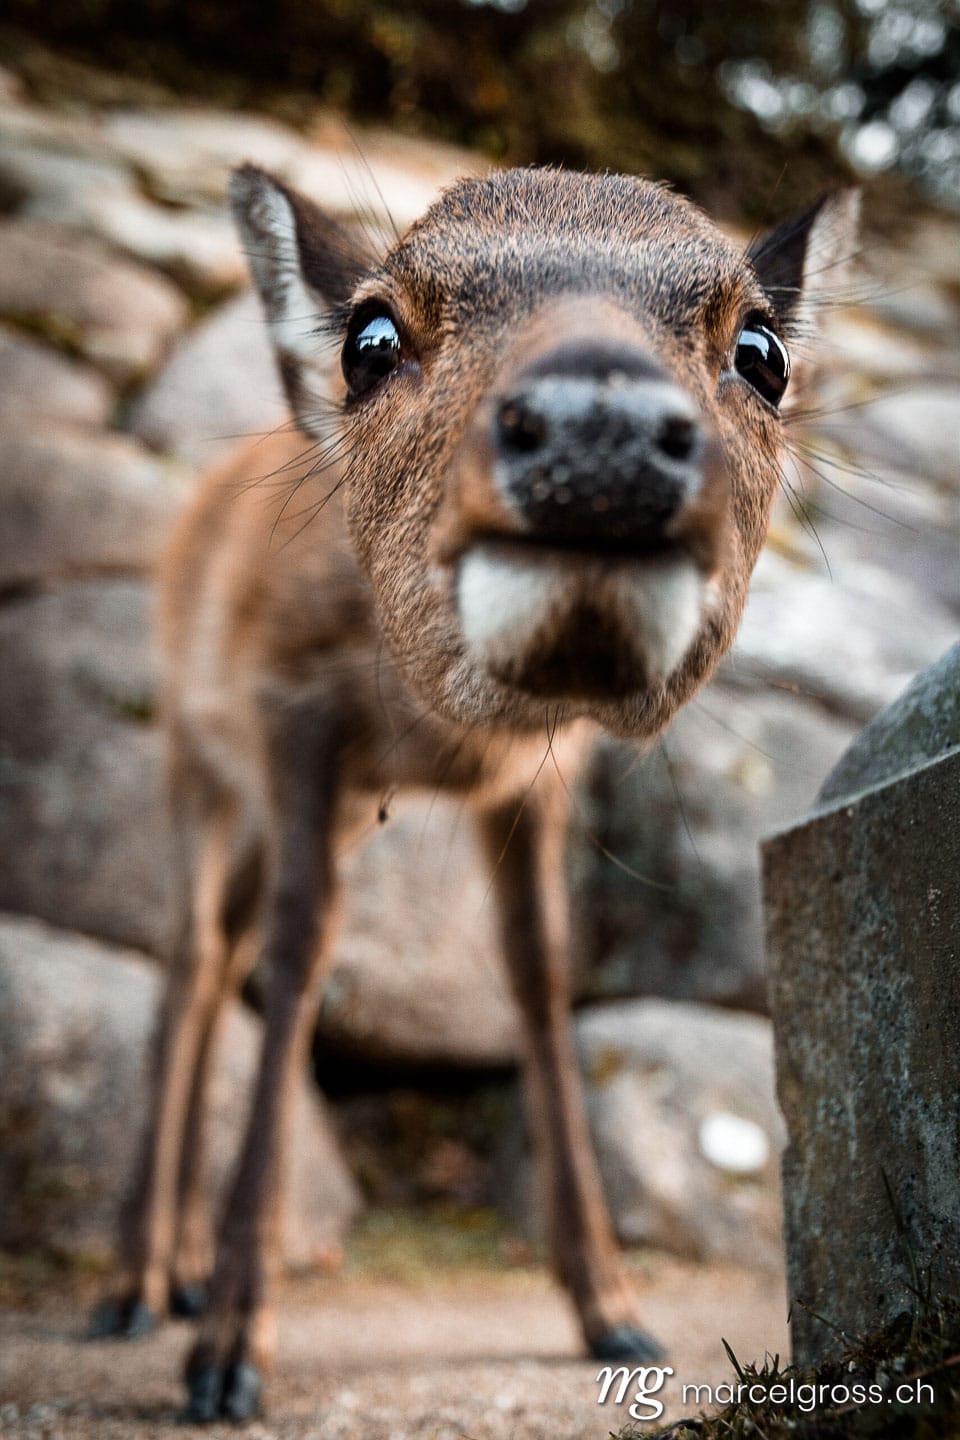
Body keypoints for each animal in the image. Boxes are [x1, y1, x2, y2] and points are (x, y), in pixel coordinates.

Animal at [91, 160, 858, 1423]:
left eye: (762, 350)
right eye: (370, 338)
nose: (600, 431)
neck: (437, 736)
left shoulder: (536, 780)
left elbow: (541, 978)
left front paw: (612, 1309)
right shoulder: (291, 709)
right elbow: (304, 953)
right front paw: (231, 1359)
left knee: (219, 955)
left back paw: (182, 1272)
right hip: (192, 763)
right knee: (193, 962)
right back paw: (131, 1289)